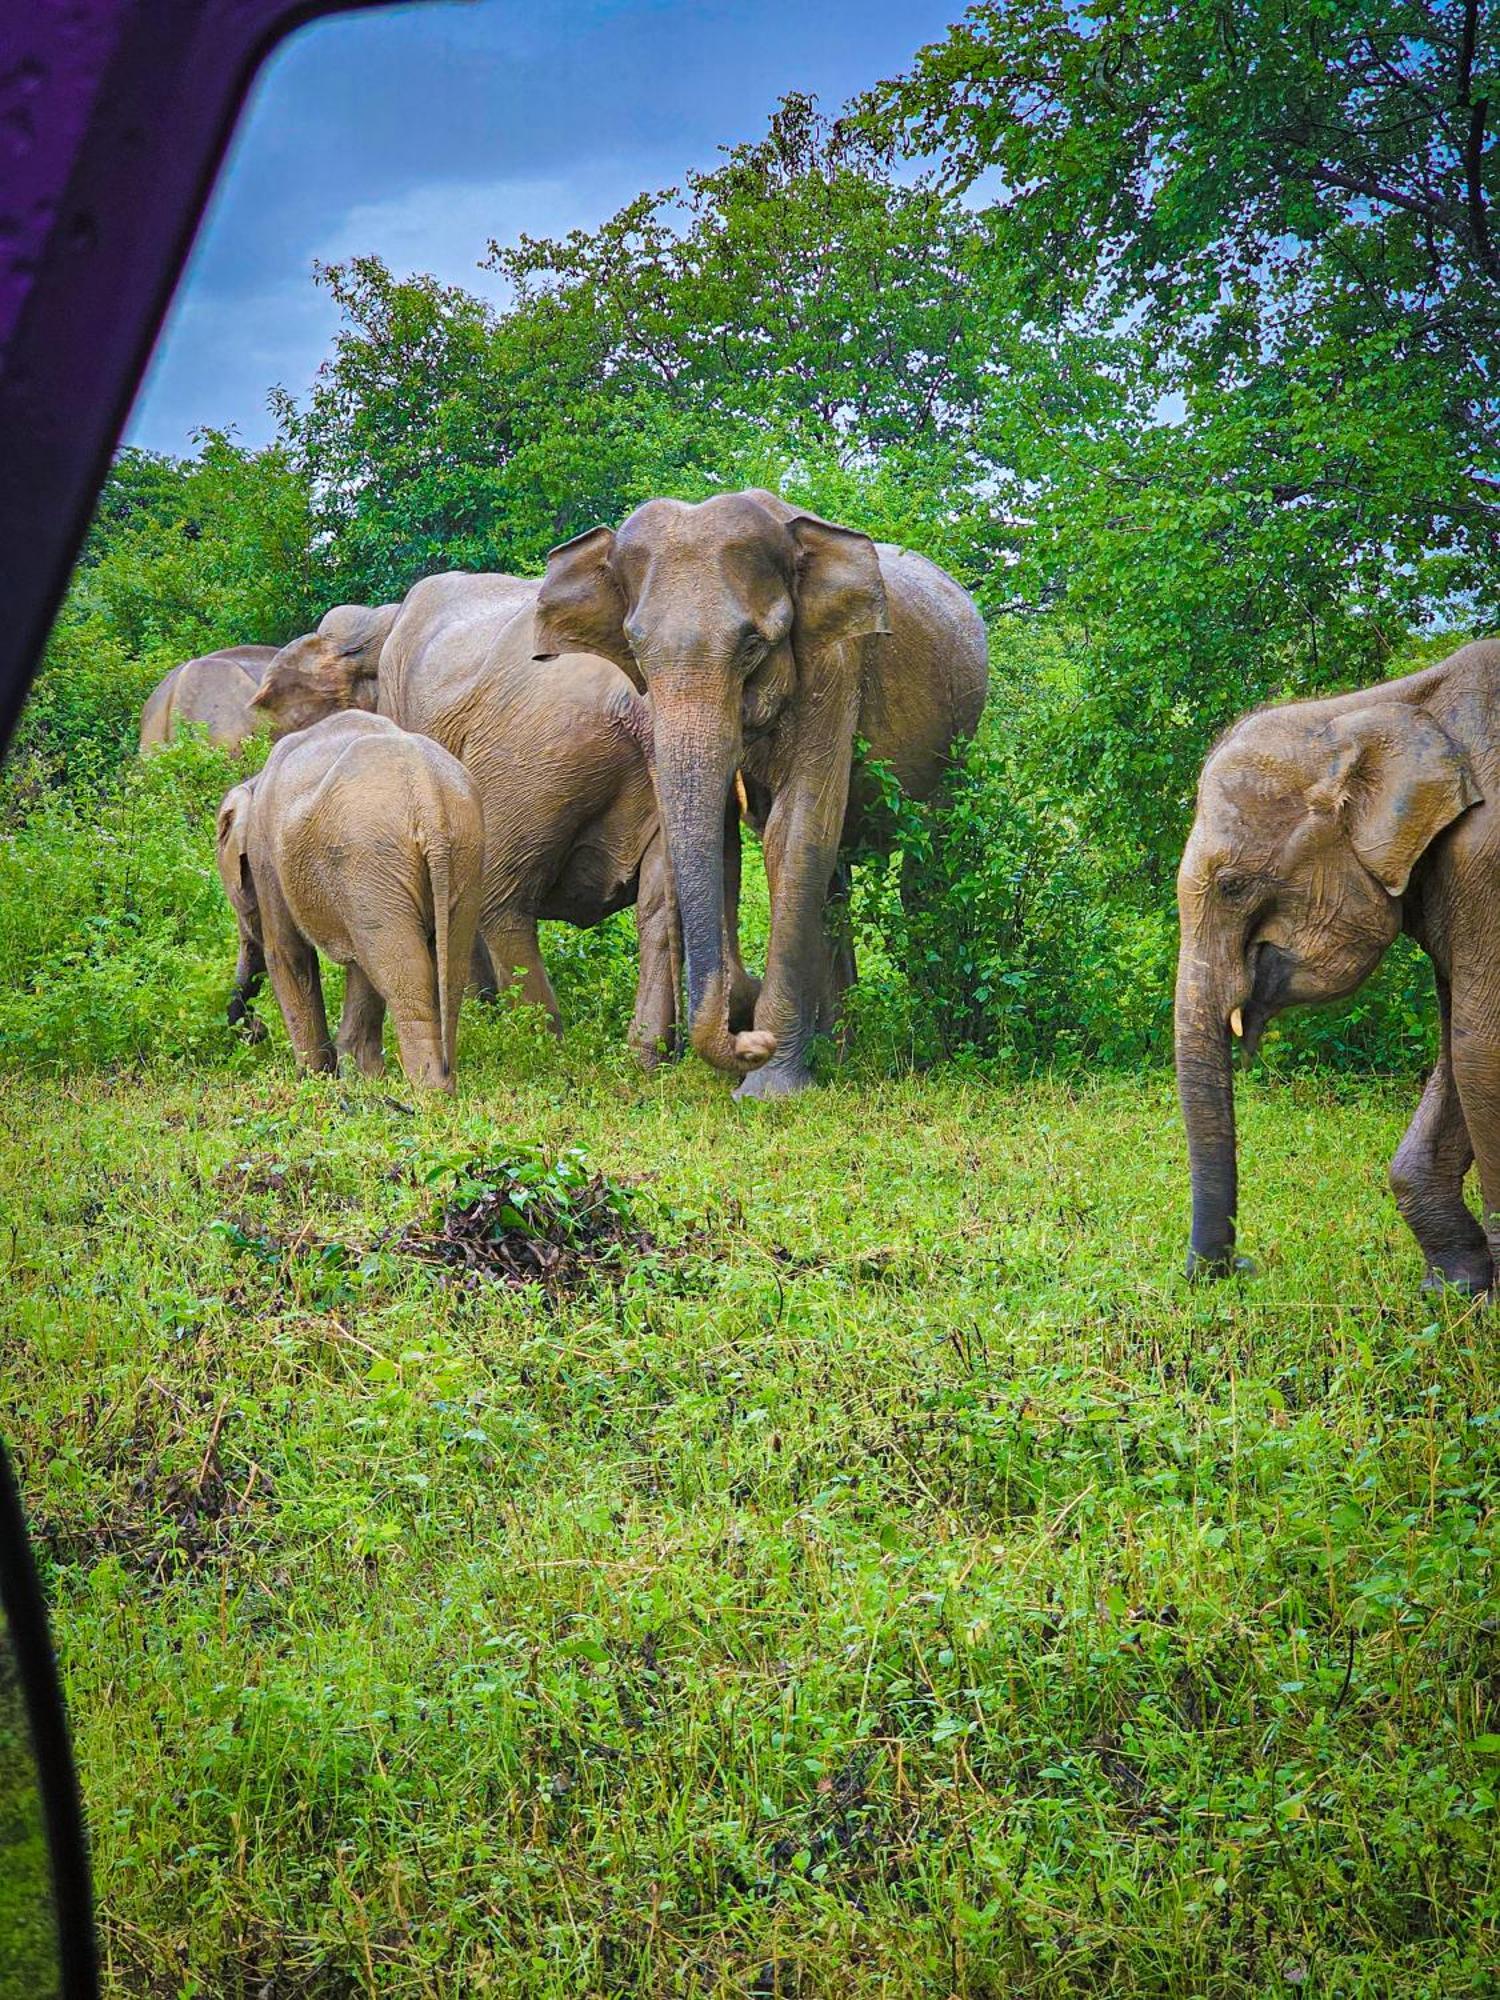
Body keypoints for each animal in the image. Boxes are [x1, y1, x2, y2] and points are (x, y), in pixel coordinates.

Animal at [214, 712, 484, 1096]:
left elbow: (287, 955)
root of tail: (429, 797)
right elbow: (360, 965)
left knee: (403, 972)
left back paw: (429, 1091)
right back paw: (443, 1082)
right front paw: (365, 1078)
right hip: (461, 853)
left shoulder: (267, 858)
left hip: (371, 857)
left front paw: (313, 1079)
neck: (253, 783)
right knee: (446, 966)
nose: (256, 1030)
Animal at [536, 490, 992, 1104]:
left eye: (753, 644)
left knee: (926, 867)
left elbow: (794, 836)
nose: (749, 1035)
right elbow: (728, 846)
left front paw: (770, 1089)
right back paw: (838, 1048)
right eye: (633, 646)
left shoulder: (835, 668)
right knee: (836, 886)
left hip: (959, 738)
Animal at [1184, 640, 1500, 1296]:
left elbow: (1483, 1052)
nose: (1238, 1267)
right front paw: (1453, 1291)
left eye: (1233, 886)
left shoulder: (1487, 861)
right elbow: (1461, 1046)